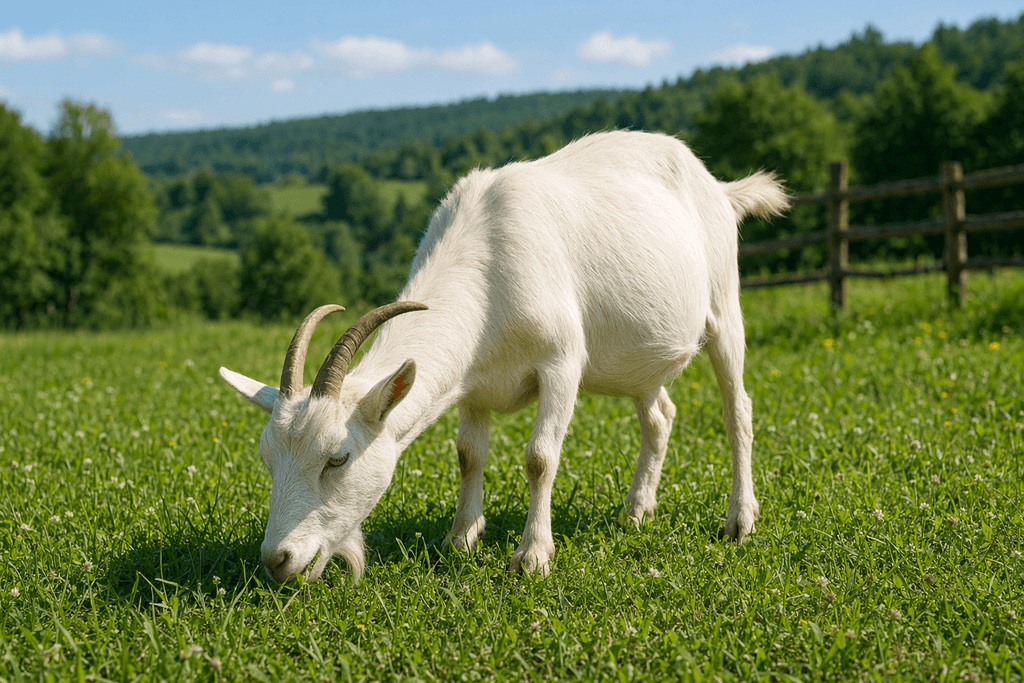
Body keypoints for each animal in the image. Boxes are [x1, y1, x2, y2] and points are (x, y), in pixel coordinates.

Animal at [220, 130, 789, 582]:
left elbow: (540, 457)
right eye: (268, 458)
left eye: (337, 458)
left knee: (737, 409)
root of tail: (717, 187)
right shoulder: (473, 383)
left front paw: (532, 557)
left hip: (725, 305)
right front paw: (460, 540)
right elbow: (469, 455)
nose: (277, 560)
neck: (489, 261)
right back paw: (635, 512)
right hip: (638, 361)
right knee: (659, 416)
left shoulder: (562, 363)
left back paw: (739, 521)